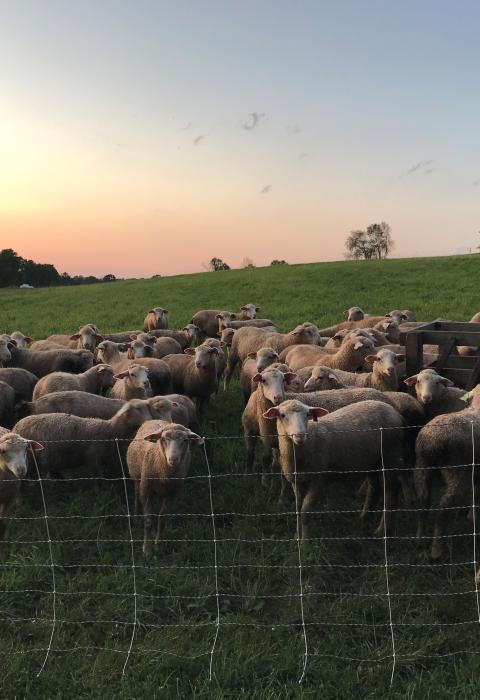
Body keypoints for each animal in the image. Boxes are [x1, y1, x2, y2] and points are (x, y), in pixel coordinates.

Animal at [14, 400, 154, 479]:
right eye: (137, 409)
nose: (149, 421)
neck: (110, 429)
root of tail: (16, 426)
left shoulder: (111, 457)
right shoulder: (93, 457)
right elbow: (98, 478)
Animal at [127, 420, 203, 556]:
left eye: (185, 440)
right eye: (162, 439)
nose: (173, 459)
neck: (166, 473)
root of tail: (153, 420)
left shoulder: (172, 494)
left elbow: (162, 519)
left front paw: (158, 546)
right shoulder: (146, 489)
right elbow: (148, 520)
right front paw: (147, 550)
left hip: (161, 492)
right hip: (136, 478)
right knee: (137, 497)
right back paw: (136, 519)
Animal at [262, 399, 407, 540]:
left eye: (307, 415)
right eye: (282, 415)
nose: (300, 436)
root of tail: (394, 411)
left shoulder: (318, 480)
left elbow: (305, 512)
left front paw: (305, 542)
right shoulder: (297, 481)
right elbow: (298, 508)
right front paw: (296, 536)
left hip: (389, 455)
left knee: (390, 492)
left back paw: (382, 529)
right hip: (373, 461)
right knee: (374, 488)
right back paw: (364, 517)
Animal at [414, 384, 480, 559]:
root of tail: (431, 443)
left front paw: (471, 516)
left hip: (422, 467)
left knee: (423, 501)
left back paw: (420, 538)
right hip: (456, 472)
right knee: (442, 510)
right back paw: (436, 550)